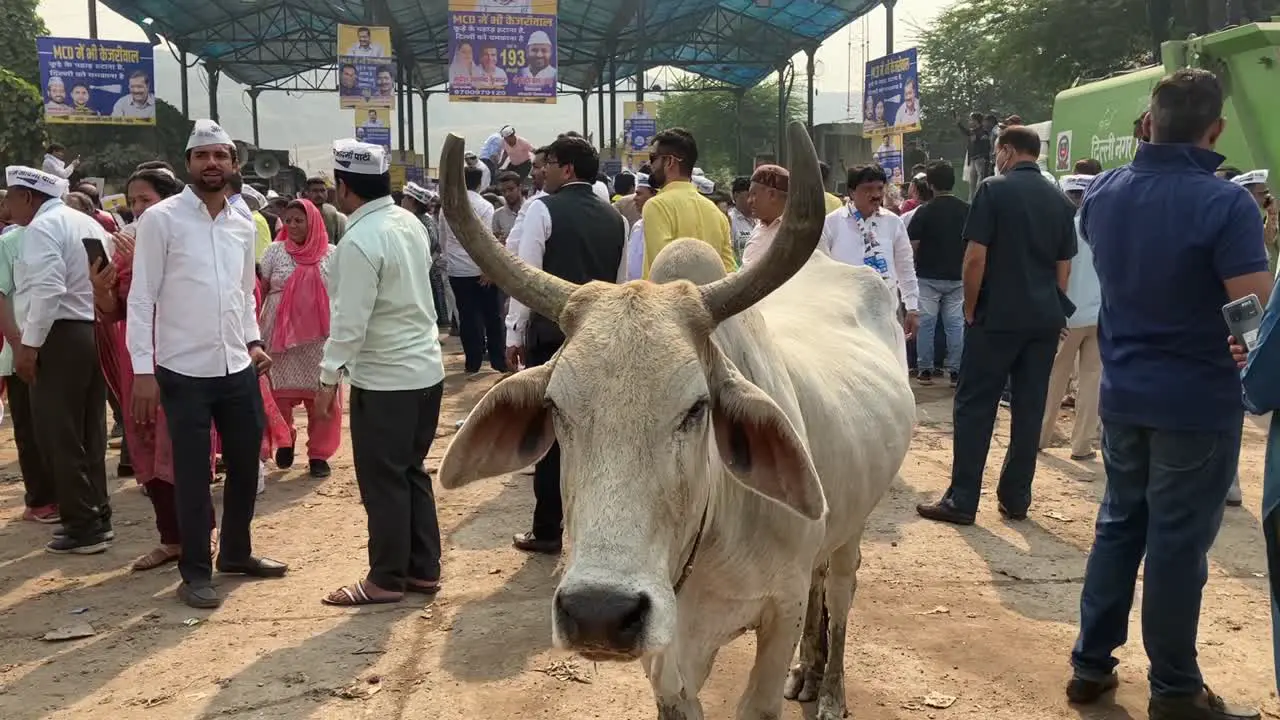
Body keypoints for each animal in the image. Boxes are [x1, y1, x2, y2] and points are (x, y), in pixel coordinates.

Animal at [435, 122, 916, 717]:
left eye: (696, 408)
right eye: (555, 407)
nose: (598, 611)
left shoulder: (780, 609)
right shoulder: (667, 656)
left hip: (855, 524)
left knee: (841, 590)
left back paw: (829, 690)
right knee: (822, 580)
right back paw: (807, 672)